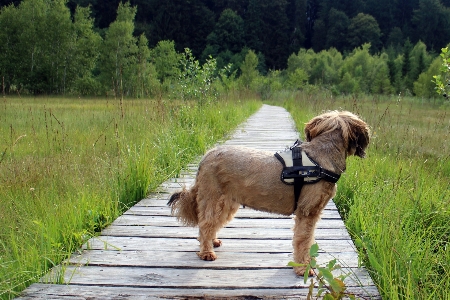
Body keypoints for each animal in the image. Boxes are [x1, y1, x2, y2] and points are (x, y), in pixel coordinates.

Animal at [169, 109, 370, 274]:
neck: (320, 159)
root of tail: (205, 158)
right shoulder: (307, 212)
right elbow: (303, 240)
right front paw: (303, 268)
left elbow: (309, 240)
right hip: (213, 198)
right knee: (205, 224)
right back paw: (206, 252)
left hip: (226, 202)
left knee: (211, 223)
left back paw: (213, 241)